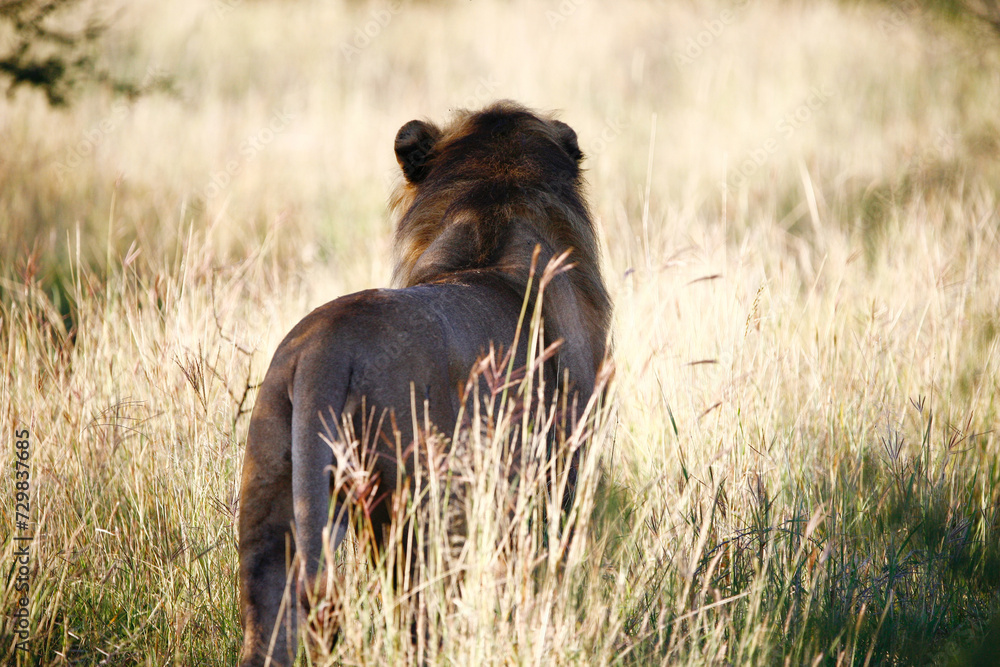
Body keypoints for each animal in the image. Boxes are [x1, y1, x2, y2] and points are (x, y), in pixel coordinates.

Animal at [237, 101, 611, 667]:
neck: (491, 221)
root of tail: (326, 350)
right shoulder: (559, 468)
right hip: (418, 511)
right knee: (419, 613)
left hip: (270, 499)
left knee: (270, 619)